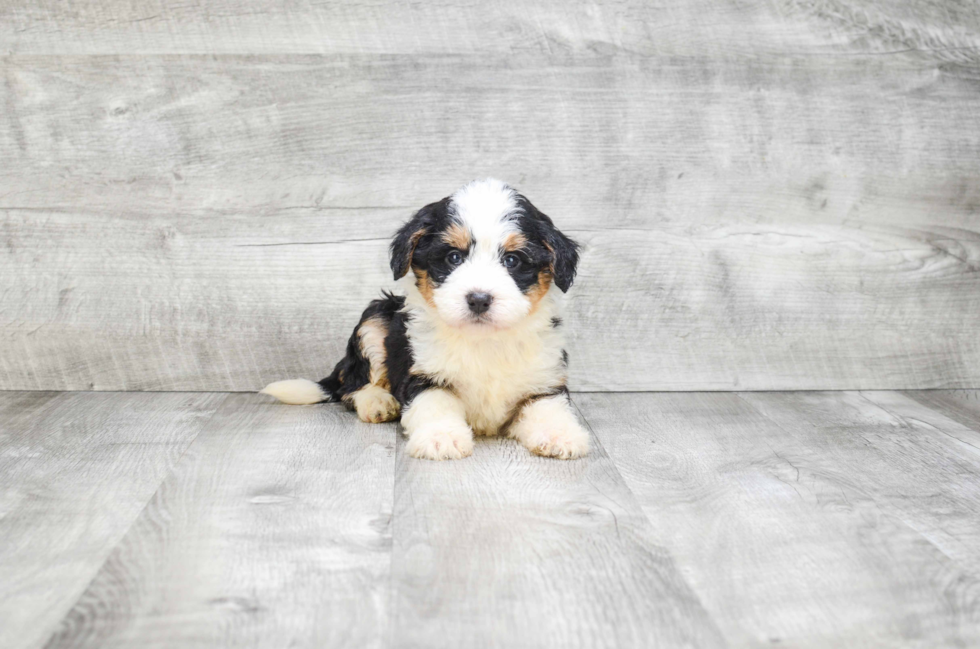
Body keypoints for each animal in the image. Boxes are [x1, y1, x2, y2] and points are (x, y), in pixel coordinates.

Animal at [260, 178, 588, 460]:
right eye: (453, 257)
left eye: (512, 260)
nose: (479, 299)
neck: (483, 340)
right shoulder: (422, 372)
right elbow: (434, 403)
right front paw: (442, 438)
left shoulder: (543, 379)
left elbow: (549, 407)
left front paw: (560, 436)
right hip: (375, 318)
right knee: (351, 385)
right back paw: (378, 402)